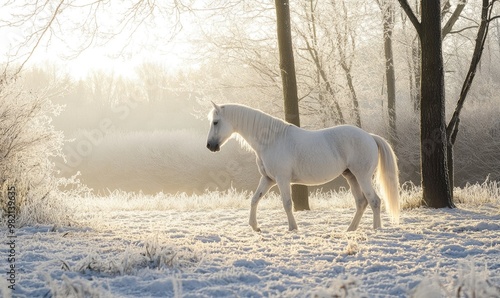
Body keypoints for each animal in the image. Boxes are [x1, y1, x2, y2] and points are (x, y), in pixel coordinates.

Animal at [205, 103, 400, 233]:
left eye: (215, 122)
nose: (210, 146)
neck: (272, 140)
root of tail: (370, 136)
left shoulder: (282, 179)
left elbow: (287, 203)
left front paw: (292, 228)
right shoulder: (268, 179)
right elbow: (254, 199)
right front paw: (255, 227)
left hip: (362, 177)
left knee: (374, 201)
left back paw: (376, 229)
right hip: (351, 177)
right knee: (361, 202)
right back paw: (350, 229)